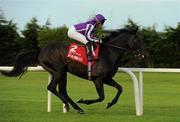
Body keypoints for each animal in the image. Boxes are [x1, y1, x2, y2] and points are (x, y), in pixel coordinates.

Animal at [0, 27, 143, 113]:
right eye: (137, 40)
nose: (143, 54)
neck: (109, 53)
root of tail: (40, 51)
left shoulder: (107, 78)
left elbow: (120, 88)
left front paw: (110, 103)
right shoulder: (97, 79)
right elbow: (101, 97)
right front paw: (84, 101)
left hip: (62, 72)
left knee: (62, 90)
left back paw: (76, 108)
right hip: (59, 70)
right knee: (52, 87)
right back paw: (70, 104)